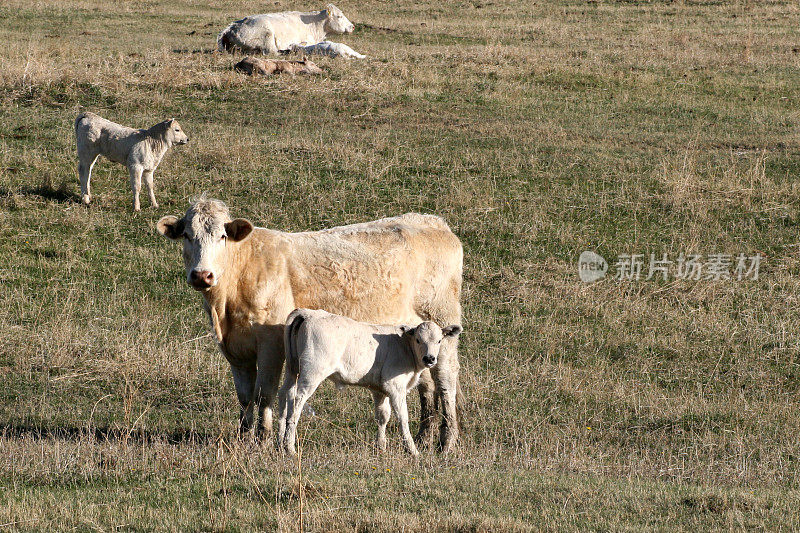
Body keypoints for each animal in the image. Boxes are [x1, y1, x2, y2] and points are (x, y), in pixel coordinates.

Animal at [278, 310, 462, 456]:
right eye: (418, 339)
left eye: (439, 341)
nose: (430, 358)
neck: (405, 348)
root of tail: (308, 313)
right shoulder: (395, 387)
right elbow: (402, 417)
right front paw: (412, 450)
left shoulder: (380, 389)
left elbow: (382, 416)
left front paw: (381, 446)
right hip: (313, 372)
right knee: (297, 400)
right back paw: (290, 447)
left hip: (292, 369)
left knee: (284, 394)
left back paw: (280, 443)